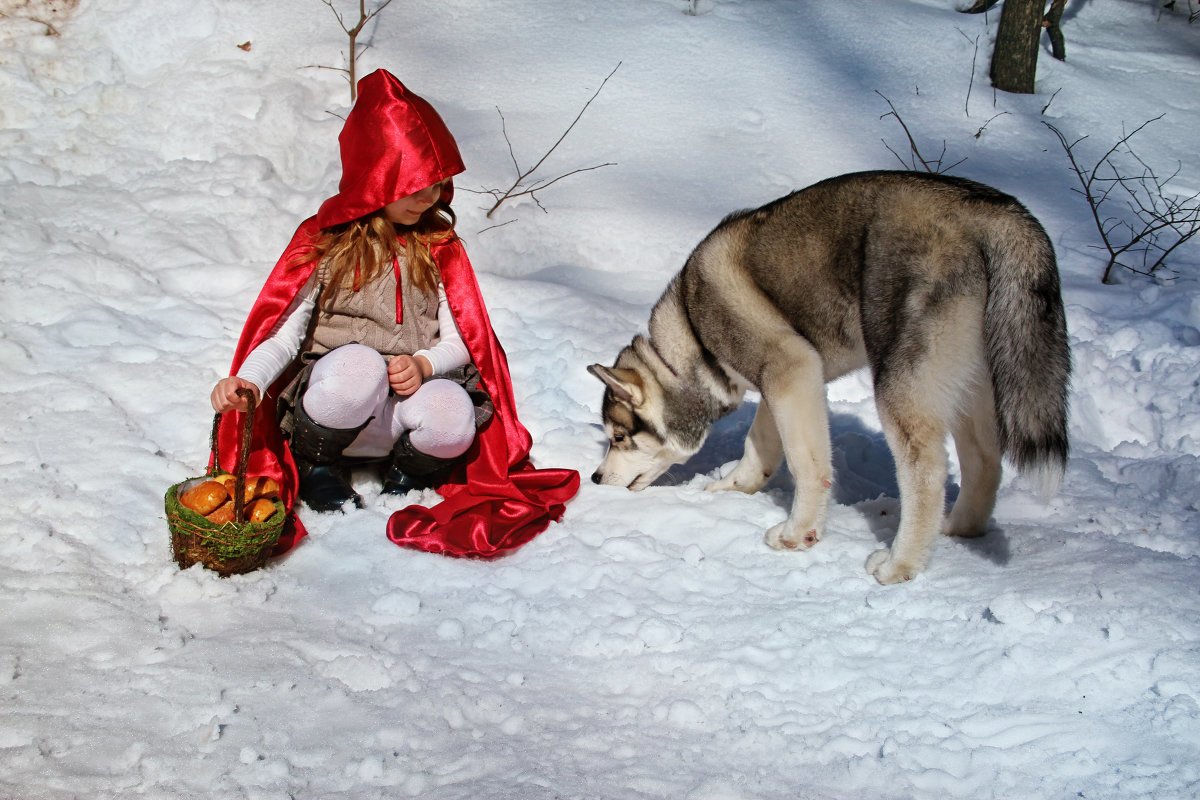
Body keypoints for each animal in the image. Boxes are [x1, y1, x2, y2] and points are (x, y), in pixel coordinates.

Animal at [590, 170, 1070, 582]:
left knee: (928, 474)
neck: (691, 339)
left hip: (902, 381)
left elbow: (808, 464)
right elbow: (760, 444)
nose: (594, 478)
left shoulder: (792, 367)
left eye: (619, 437)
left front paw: (796, 533)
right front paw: (734, 486)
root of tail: (996, 211)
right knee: (985, 462)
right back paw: (956, 529)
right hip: (975, 381)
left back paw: (899, 564)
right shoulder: (783, 380)